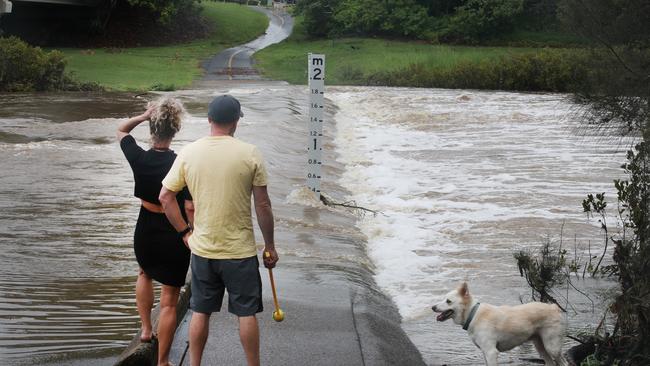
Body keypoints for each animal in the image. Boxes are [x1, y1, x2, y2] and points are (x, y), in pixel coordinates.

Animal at [430, 282, 568, 364]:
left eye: (448, 301)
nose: (432, 307)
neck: (473, 314)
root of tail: (553, 307)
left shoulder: (491, 352)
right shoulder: (485, 352)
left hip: (552, 347)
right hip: (541, 347)